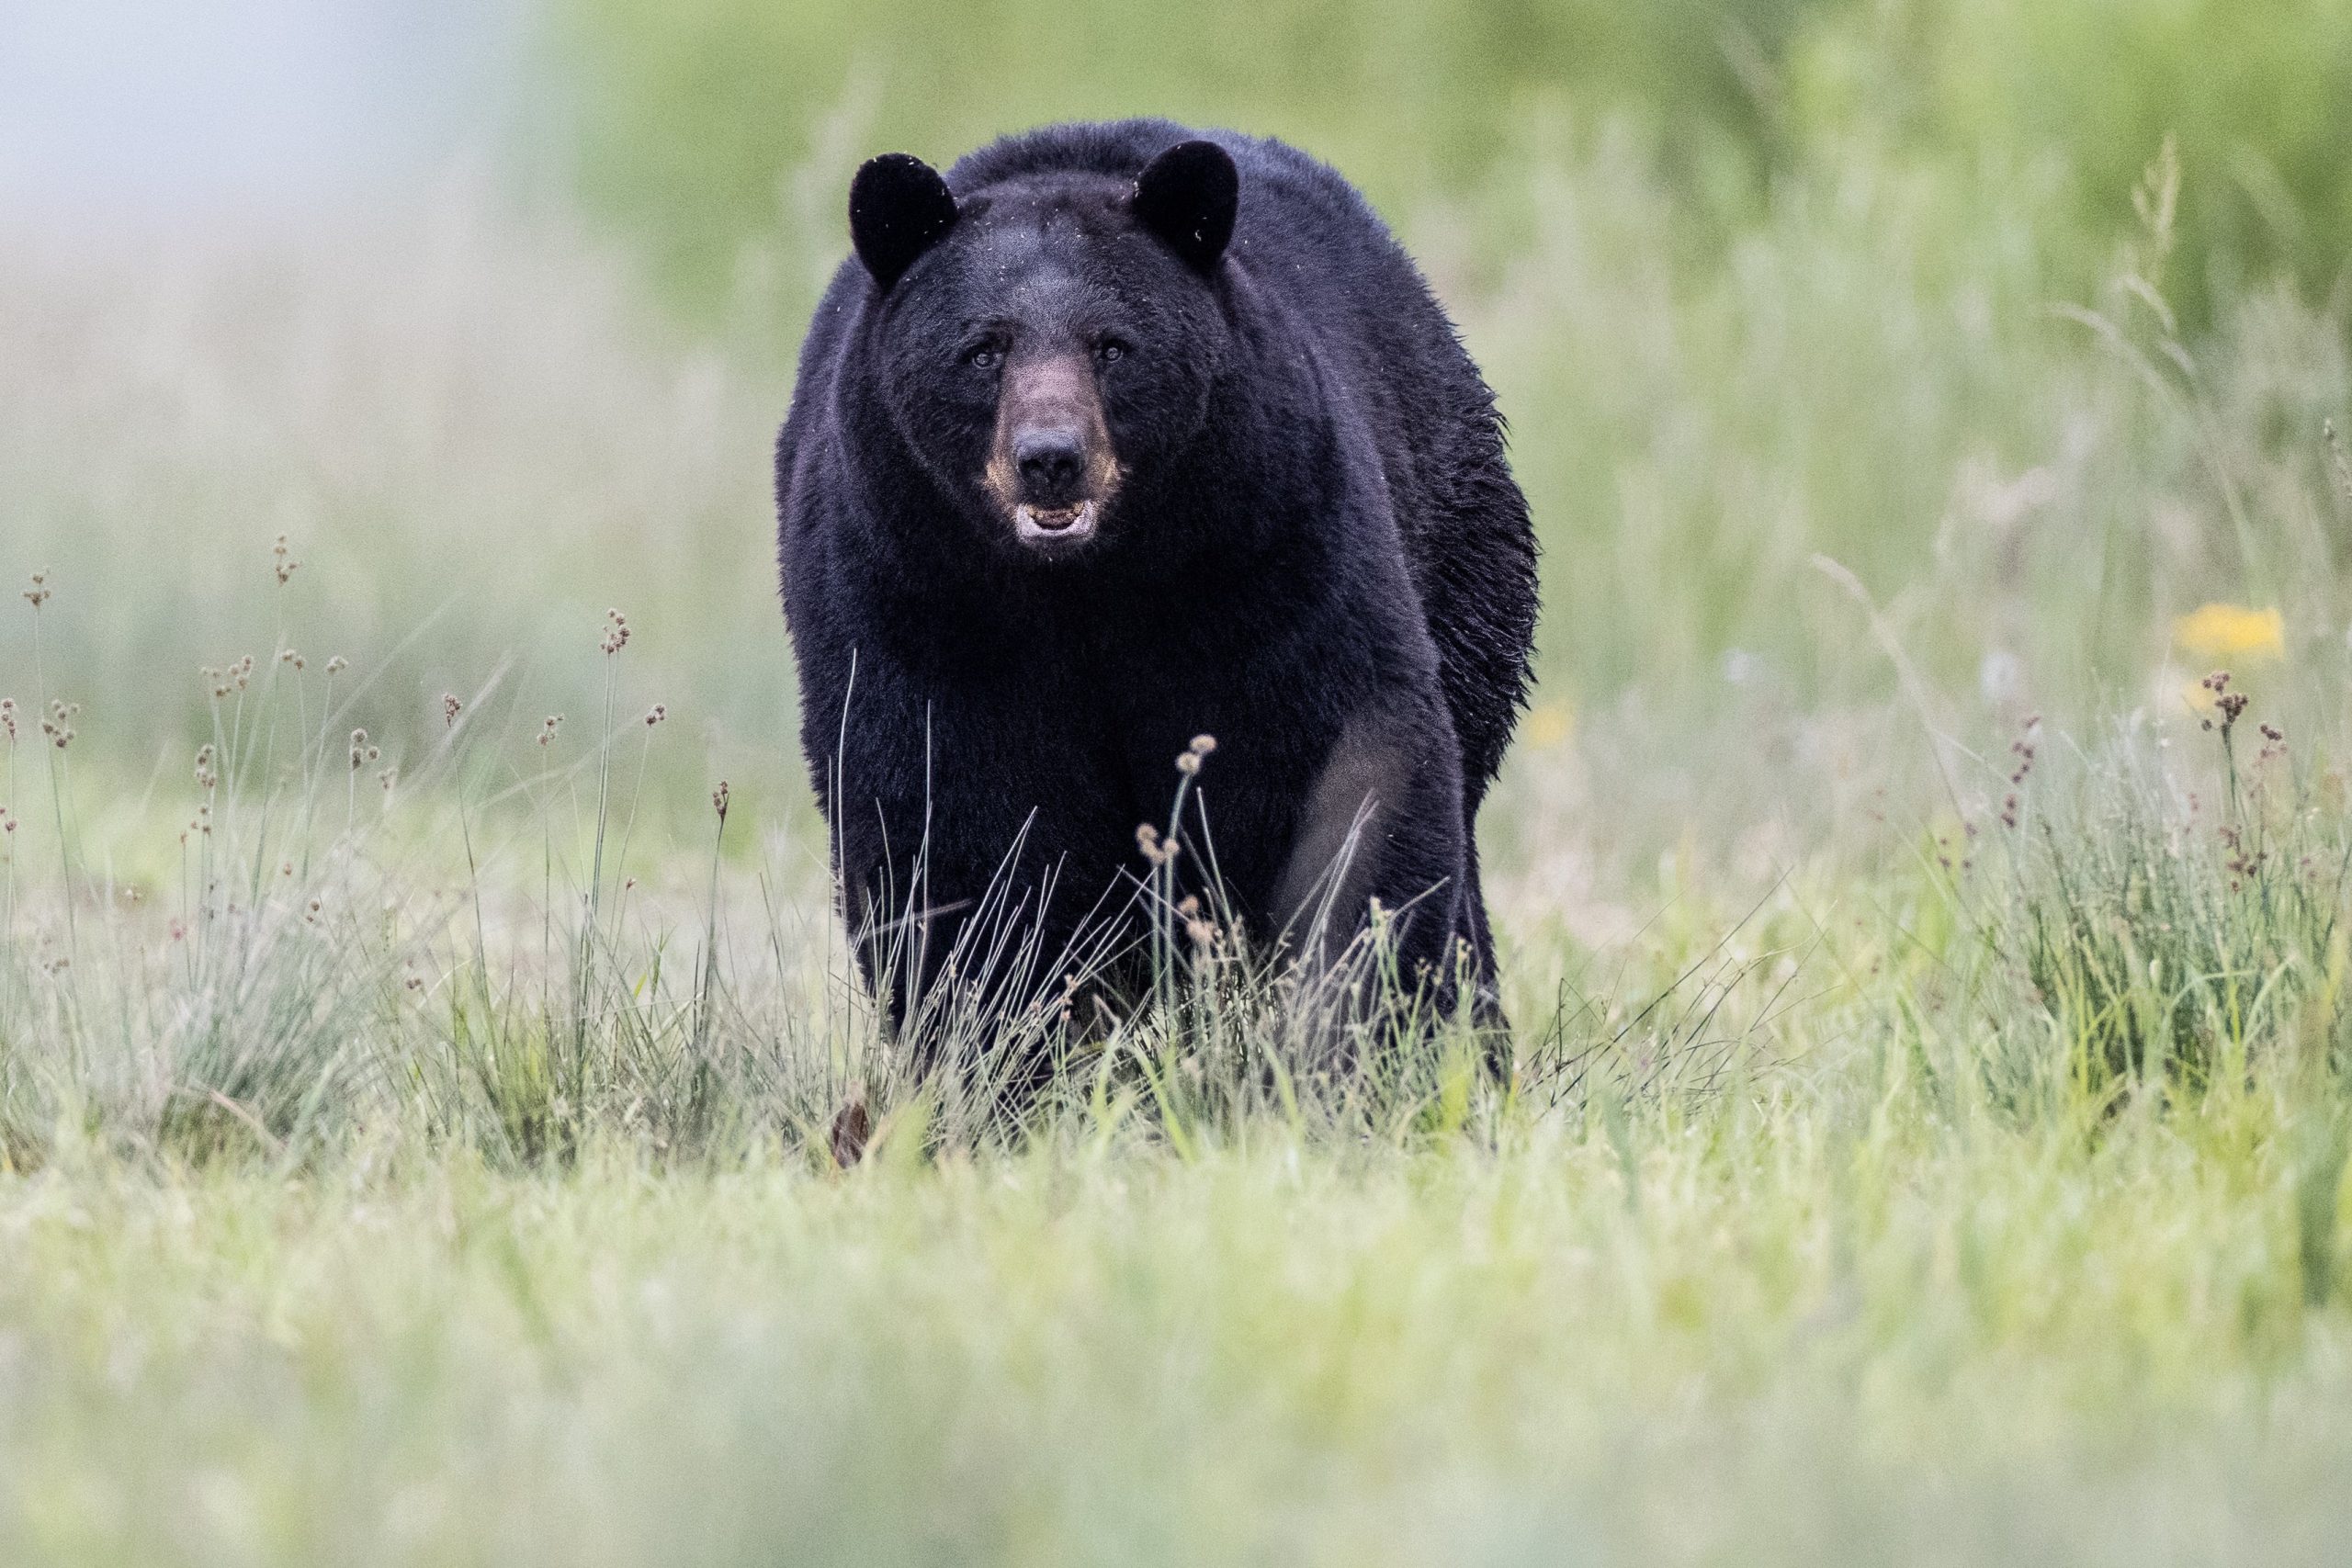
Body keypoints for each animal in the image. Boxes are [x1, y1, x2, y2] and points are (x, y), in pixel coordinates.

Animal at [775, 119, 1543, 1053]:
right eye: (983, 349)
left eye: (1112, 344)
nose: (1050, 458)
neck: (1087, 587)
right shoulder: (915, 592)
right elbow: (946, 820)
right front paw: (998, 1045)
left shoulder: (1270, 548)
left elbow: (1347, 767)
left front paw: (1376, 1030)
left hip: (1460, 549)